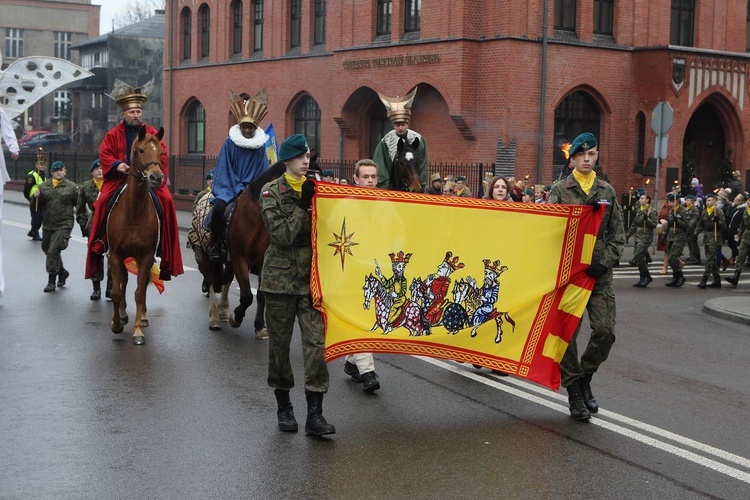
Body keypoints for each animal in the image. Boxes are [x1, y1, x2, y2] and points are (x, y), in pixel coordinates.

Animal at [107, 125, 166, 346]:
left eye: (161, 152)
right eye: (141, 150)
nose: (156, 177)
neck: (134, 212)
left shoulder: (146, 256)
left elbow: (140, 293)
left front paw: (138, 331)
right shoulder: (115, 255)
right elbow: (116, 292)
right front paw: (116, 323)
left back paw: (143, 317)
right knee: (122, 282)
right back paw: (122, 315)